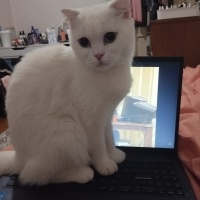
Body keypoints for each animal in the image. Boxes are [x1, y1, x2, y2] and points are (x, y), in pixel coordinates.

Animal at [0, 0, 135, 186]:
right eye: (84, 42)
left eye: (110, 37)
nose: (98, 55)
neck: (108, 74)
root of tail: (18, 158)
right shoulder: (91, 121)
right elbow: (99, 146)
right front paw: (105, 164)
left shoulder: (106, 116)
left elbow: (109, 139)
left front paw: (114, 155)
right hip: (68, 132)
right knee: (35, 176)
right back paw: (82, 173)